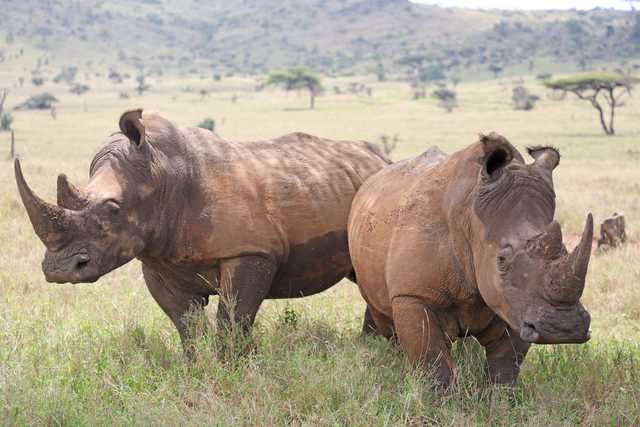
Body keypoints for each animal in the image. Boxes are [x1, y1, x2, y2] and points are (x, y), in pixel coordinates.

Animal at [15, 109, 390, 353]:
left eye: (113, 209)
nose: (59, 271)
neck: (161, 174)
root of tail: (381, 159)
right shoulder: (159, 262)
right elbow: (186, 323)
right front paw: (194, 366)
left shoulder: (250, 252)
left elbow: (233, 319)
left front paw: (234, 369)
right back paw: (370, 347)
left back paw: (373, 348)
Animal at [348, 133, 593, 387]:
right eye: (501, 260)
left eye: (565, 250)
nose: (563, 329)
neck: (470, 218)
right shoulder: (413, 295)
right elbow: (432, 360)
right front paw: (438, 395)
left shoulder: (517, 304)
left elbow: (506, 362)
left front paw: (500, 394)